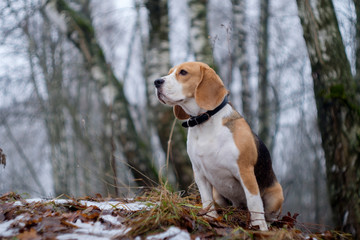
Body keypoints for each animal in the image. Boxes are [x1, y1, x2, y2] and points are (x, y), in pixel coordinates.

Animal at [153, 61, 282, 230]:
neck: (205, 122)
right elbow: (206, 200)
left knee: (269, 215)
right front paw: (211, 218)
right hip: (219, 195)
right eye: (169, 73)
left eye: (183, 72)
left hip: (276, 196)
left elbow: (254, 203)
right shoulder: (199, 172)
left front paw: (259, 228)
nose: (156, 82)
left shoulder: (245, 171)